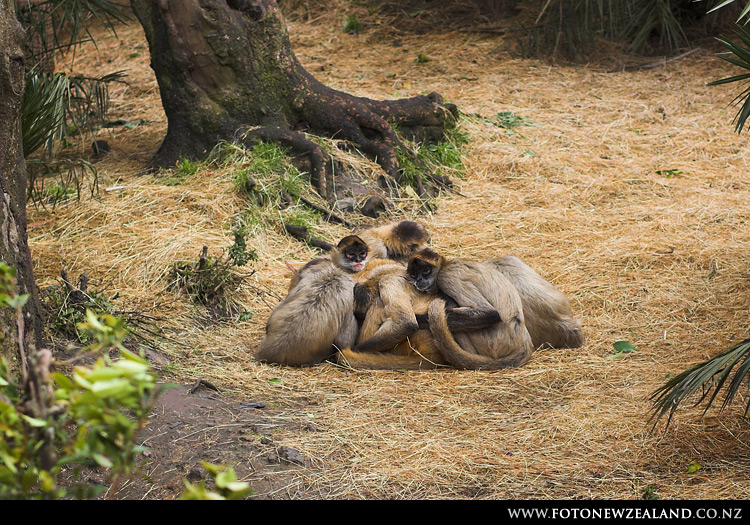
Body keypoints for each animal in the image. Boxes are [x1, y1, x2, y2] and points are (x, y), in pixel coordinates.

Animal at [406, 248, 535, 370]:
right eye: (414, 274)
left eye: (425, 270)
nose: (419, 279)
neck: (446, 265)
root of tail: (525, 344)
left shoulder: (446, 275)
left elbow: (489, 314)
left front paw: (416, 319)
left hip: (488, 341)